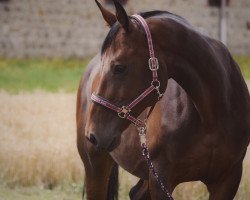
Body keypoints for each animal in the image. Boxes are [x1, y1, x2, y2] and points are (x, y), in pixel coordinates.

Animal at [76, 0, 250, 199]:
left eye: (119, 67)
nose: (92, 134)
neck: (212, 115)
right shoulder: (161, 180)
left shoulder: (228, 179)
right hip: (96, 166)